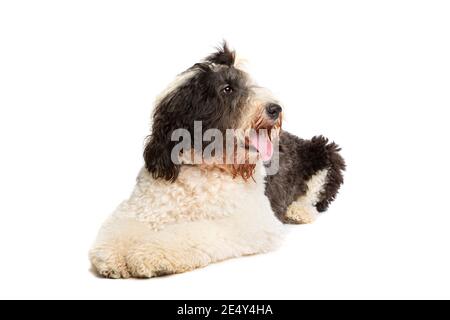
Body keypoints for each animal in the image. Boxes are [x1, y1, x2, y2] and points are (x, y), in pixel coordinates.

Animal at [89, 43, 346, 278]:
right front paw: (113, 255)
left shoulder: (250, 221)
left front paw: (147, 254)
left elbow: (194, 232)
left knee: (317, 195)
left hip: (325, 151)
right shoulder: (140, 207)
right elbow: (122, 226)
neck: (203, 166)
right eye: (227, 89)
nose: (275, 108)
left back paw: (298, 211)